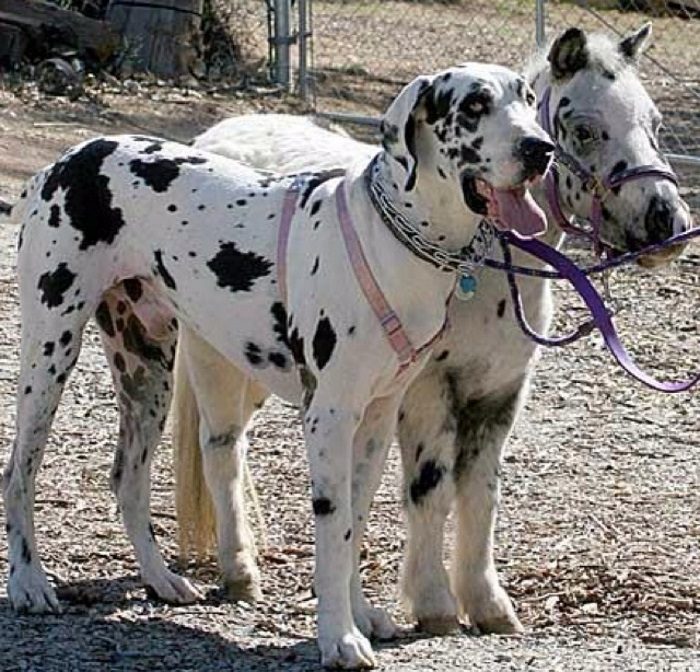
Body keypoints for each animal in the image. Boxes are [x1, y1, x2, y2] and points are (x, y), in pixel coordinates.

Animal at [4, 62, 554, 668]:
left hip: (147, 373)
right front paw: (339, 636)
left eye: (529, 99)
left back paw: (161, 579)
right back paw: (29, 582)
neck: (389, 238)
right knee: (19, 473)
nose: (540, 149)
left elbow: (354, 524)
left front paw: (360, 615)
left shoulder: (376, 420)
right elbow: (333, 530)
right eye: (474, 105)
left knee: (127, 478)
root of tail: (64, 161)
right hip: (50, 356)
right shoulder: (329, 418)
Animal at [171, 24, 693, 639]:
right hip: (217, 357)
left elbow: (480, 495)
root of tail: (216, 133)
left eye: (654, 122)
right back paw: (240, 573)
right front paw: (436, 603)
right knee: (221, 449)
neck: (478, 268)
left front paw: (488, 604)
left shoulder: (498, 395)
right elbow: (431, 489)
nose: (668, 225)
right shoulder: (427, 391)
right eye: (585, 129)